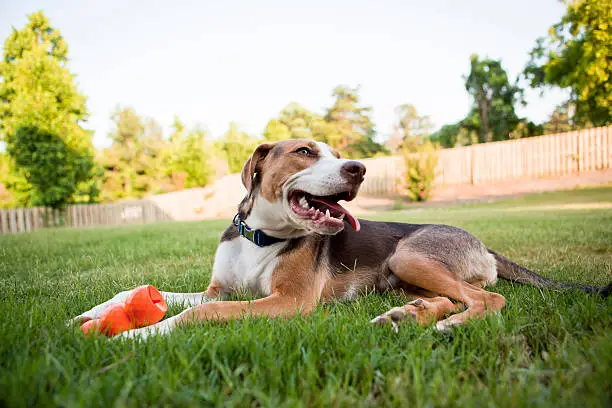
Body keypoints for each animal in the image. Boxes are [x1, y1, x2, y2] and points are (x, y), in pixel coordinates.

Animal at [70, 139, 608, 336]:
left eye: (336, 153)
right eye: (306, 151)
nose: (360, 168)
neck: (261, 238)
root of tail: (484, 244)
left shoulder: (287, 303)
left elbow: (196, 314)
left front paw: (139, 334)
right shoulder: (220, 289)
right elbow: (155, 292)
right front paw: (98, 312)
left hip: (410, 254)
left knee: (487, 298)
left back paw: (449, 325)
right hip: (405, 274)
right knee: (453, 297)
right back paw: (407, 315)